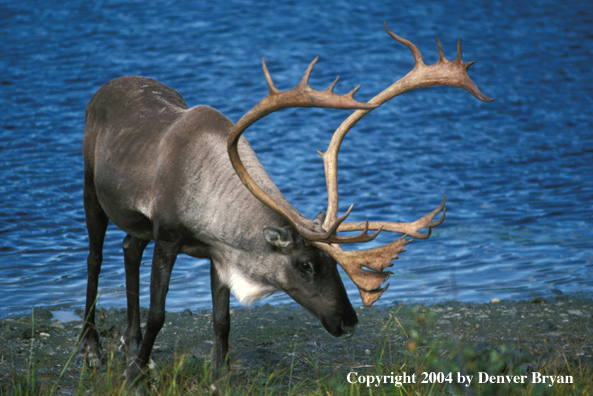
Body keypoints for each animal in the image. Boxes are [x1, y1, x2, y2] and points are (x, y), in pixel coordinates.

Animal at [75, 24, 490, 384]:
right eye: (304, 264)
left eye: (331, 264)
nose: (349, 322)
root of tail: (105, 87)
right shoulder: (168, 237)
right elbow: (160, 313)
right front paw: (135, 374)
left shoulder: (217, 250)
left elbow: (222, 320)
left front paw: (221, 376)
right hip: (91, 186)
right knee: (95, 259)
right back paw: (92, 348)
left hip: (135, 222)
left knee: (128, 247)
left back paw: (128, 341)